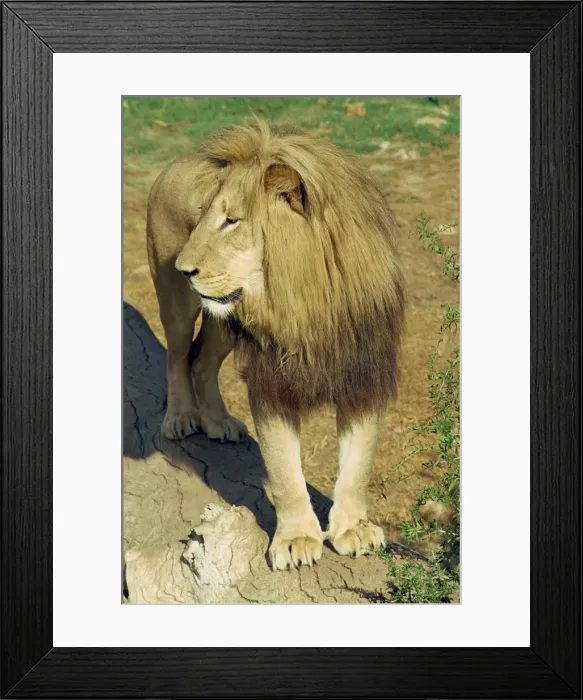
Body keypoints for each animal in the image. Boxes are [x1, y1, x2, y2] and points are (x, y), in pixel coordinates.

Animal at [146, 120, 405, 571]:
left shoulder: (365, 375)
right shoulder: (271, 383)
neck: (307, 304)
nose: (183, 268)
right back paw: (181, 418)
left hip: (224, 319)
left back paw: (218, 422)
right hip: (176, 304)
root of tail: (174, 162)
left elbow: (359, 462)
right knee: (178, 356)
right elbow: (284, 471)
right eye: (203, 218)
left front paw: (352, 529)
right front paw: (297, 539)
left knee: (201, 363)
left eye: (232, 221)